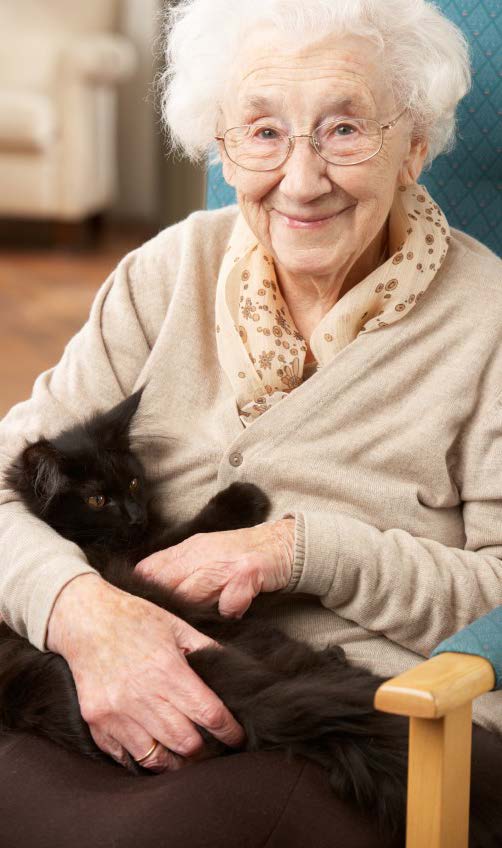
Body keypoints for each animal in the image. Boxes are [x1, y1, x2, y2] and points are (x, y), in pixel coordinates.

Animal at [0, 390, 412, 840]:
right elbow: (192, 533)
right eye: (96, 500)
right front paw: (243, 496)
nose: (137, 515)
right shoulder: (147, 557)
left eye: (133, 482)